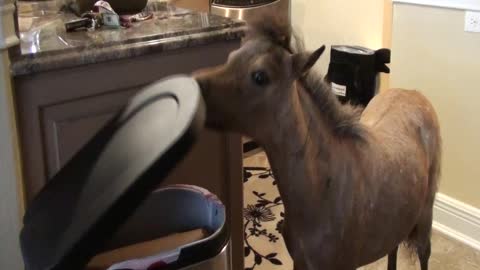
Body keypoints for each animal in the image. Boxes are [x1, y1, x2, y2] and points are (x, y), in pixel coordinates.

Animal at [193, 17, 440, 268]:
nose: (191, 89)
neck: (323, 190)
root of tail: (414, 93)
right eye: (231, 57)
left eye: (260, 76)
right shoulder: (300, 263)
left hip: (424, 220)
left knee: (424, 253)